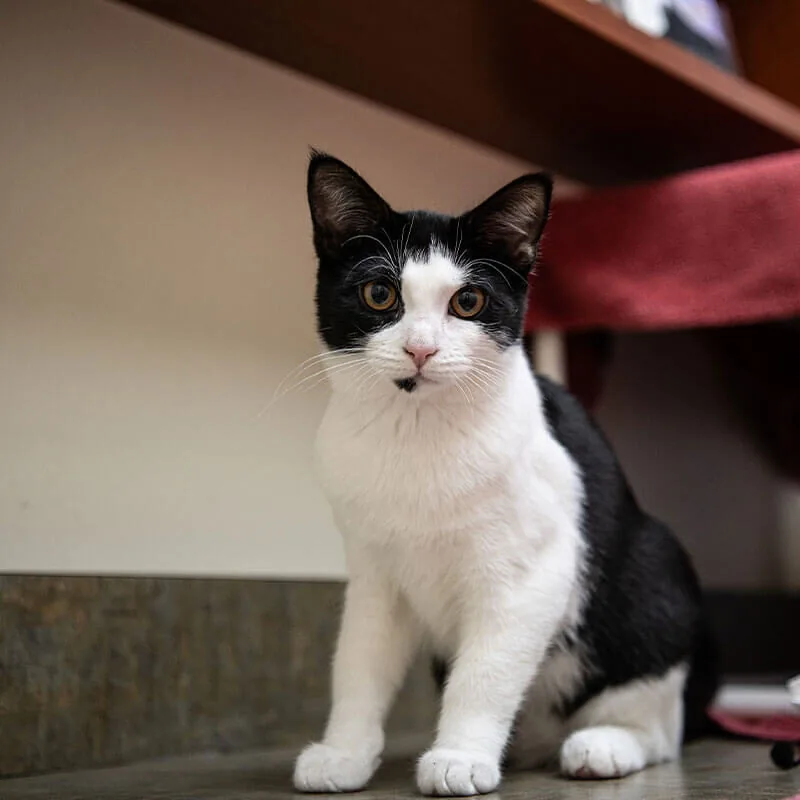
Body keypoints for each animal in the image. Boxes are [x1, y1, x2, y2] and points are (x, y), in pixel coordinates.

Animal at [290, 153, 716, 796]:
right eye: (379, 293)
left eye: (468, 302)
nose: (421, 349)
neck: (417, 431)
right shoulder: (372, 574)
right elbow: (359, 663)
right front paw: (344, 753)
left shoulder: (532, 572)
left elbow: (485, 671)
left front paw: (460, 756)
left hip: (653, 570)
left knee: (660, 727)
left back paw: (604, 745)